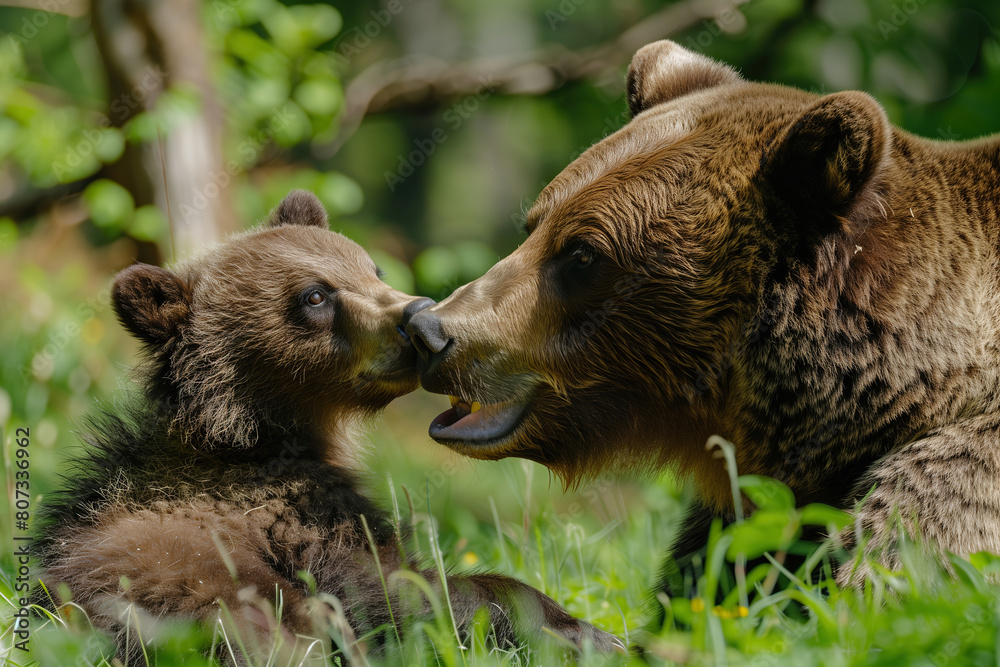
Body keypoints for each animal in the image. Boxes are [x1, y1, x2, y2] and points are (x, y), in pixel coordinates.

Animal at [35, 190, 621, 663]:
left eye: (371, 268)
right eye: (314, 295)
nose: (416, 316)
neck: (261, 435)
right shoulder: (292, 513)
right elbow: (385, 586)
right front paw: (584, 631)